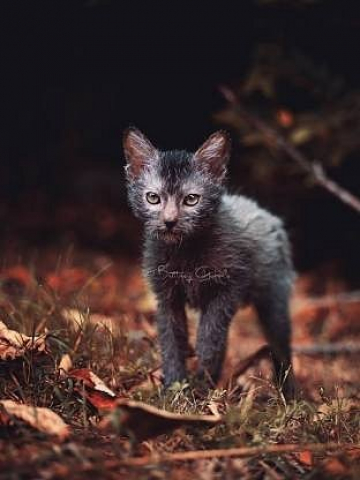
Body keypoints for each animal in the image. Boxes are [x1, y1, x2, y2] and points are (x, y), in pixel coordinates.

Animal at [124, 129, 296, 400]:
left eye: (191, 199)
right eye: (153, 198)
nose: (170, 221)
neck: (185, 252)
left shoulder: (227, 291)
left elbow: (209, 340)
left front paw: (199, 388)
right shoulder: (166, 296)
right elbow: (171, 340)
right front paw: (174, 388)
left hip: (274, 300)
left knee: (281, 347)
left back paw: (287, 395)